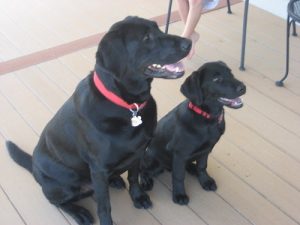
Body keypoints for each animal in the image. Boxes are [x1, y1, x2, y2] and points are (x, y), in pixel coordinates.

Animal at [5, 16, 191, 225]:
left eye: (158, 29)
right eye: (146, 38)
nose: (189, 43)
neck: (129, 106)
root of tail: (34, 168)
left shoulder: (138, 152)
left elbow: (134, 177)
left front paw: (138, 197)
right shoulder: (99, 169)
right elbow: (104, 205)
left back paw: (116, 180)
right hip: (65, 186)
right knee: (57, 202)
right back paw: (80, 212)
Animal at [141, 61, 246, 206]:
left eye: (230, 73)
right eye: (216, 79)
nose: (243, 88)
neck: (208, 120)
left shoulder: (206, 149)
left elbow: (202, 166)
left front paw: (205, 181)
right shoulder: (179, 154)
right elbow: (178, 176)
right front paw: (179, 195)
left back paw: (192, 168)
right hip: (154, 160)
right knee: (143, 169)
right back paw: (146, 181)